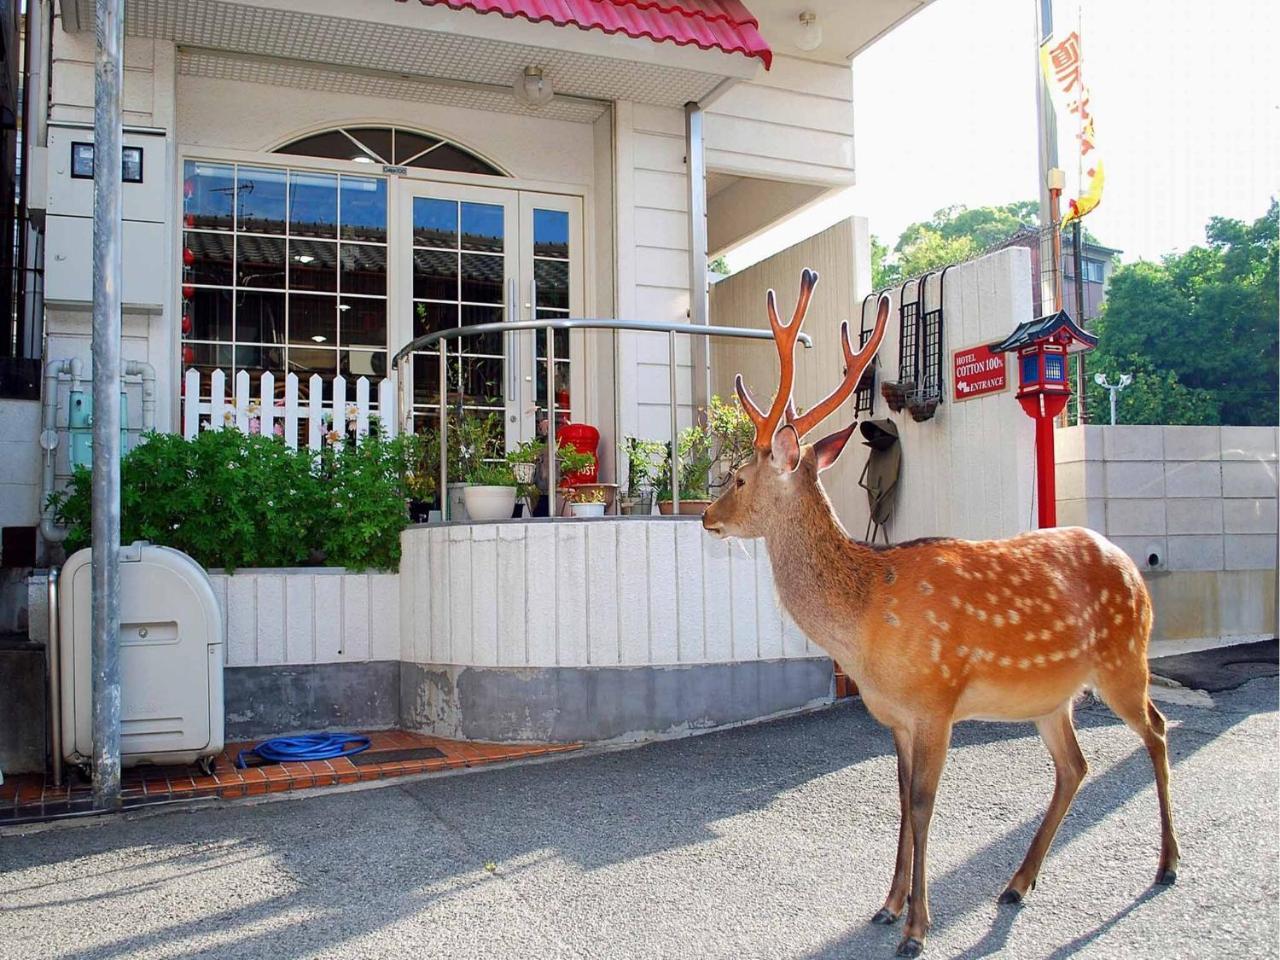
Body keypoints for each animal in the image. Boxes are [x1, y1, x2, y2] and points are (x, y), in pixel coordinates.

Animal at [701, 271, 1177, 960]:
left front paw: (918, 927)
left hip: (1124, 658)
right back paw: (1016, 884)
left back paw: (1167, 865)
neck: (865, 624)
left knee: (1158, 731)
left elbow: (924, 805)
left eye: (738, 478)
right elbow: (900, 801)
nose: (704, 515)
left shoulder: (936, 698)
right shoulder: (896, 716)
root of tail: (1133, 567)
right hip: (1051, 694)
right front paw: (887, 904)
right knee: (1075, 765)